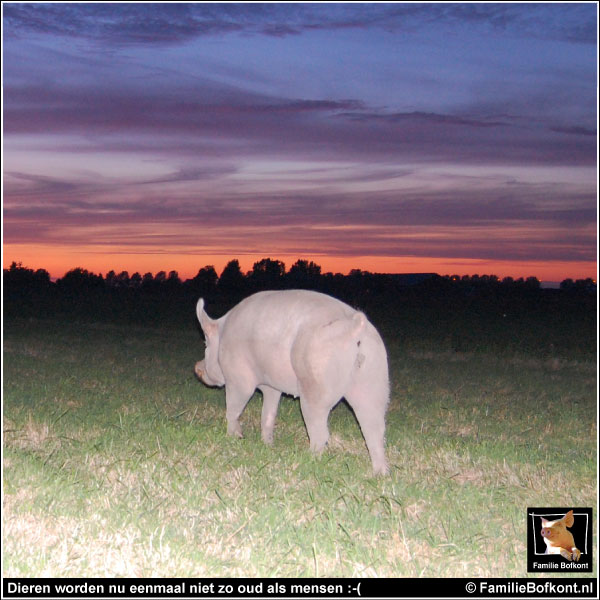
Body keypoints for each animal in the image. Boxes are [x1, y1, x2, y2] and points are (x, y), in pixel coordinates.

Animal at [196, 288, 390, 476]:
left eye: (205, 343)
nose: (196, 367)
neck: (222, 335)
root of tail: (355, 327)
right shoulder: (271, 386)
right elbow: (268, 414)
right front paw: (268, 444)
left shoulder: (238, 379)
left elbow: (233, 409)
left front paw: (233, 437)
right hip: (374, 379)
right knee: (374, 430)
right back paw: (381, 474)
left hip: (316, 384)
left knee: (321, 431)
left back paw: (308, 460)